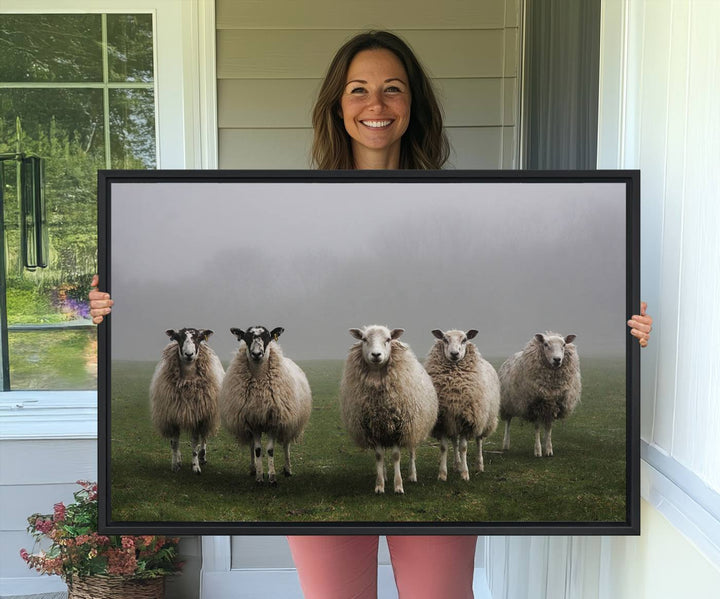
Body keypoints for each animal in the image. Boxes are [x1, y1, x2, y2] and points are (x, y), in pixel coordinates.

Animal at [148, 328, 222, 474]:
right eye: (179, 337)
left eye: (198, 338)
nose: (189, 354)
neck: (187, 379)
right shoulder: (172, 415)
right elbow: (174, 443)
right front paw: (175, 464)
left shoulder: (198, 416)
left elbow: (195, 442)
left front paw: (196, 466)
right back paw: (180, 458)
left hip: (208, 414)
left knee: (204, 436)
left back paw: (202, 456)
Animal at [218, 326, 310, 486]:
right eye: (246, 337)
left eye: (268, 336)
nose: (256, 354)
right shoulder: (253, 421)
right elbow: (258, 450)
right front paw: (260, 477)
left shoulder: (275, 421)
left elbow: (270, 450)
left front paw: (272, 477)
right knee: (251, 446)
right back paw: (253, 469)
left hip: (289, 420)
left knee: (286, 444)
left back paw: (288, 469)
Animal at [338, 326, 438, 494]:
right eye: (364, 339)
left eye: (388, 339)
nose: (376, 355)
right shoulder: (373, 427)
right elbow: (379, 456)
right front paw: (379, 485)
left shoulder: (400, 426)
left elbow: (396, 456)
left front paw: (398, 486)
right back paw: (384, 475)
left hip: (413, 425)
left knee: (412, 450)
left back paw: (412, 475)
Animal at [424, 330, 498, 480]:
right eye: (445, 339)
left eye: (464, 340)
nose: (454, 353)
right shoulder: (443, 421)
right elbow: (444, 447)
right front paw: (442, 474)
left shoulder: (468, 420)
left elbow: (464, 447)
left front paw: (465, 474)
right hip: (453, 422)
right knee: (454, 441)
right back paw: (456, 464)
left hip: (483, 419)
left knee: (479, 441)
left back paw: (479, 465)